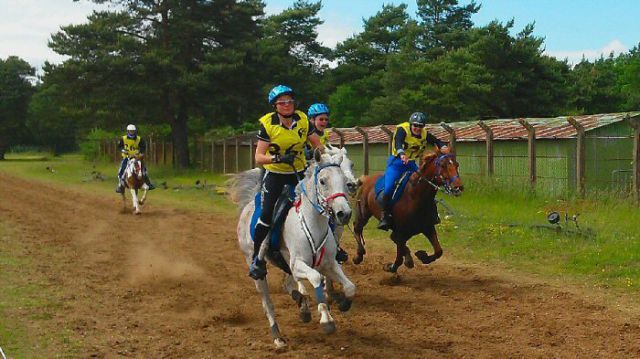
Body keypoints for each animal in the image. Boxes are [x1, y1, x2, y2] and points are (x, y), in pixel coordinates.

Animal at [231, 151, 356, 348]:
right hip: (256, 266)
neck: (313, 222)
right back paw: (278, 337)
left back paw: (302, 304)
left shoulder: (329, 263)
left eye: (344, 179)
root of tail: (249, 206)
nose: (344, 213)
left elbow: (350, 286)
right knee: (268, 303)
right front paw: (327, 320)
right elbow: (315, 278)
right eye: (323, 181)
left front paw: (343, 303)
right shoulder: (298, 264)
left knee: (290, 284)